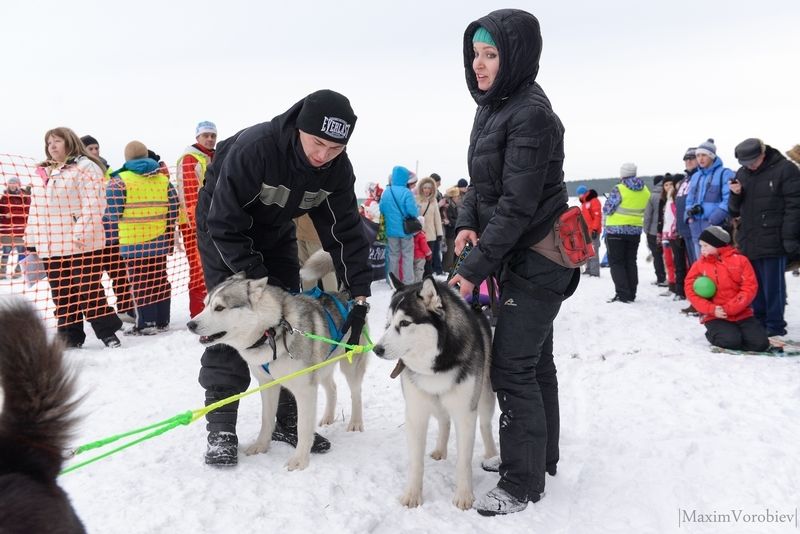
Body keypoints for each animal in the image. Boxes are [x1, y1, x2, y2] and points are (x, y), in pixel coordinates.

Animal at [372, 276, 496, 510]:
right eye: (388, 324)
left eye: (404, 323)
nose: (377, 350)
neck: (436, 367)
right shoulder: (415, 412)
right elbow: (416, 461)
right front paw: (412, 494)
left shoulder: (465, 414)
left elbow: (464, 460)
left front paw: (464, 495)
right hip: (435, 404)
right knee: (444, 422)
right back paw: (440, 449)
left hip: (485, 397)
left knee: (485, 425)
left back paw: (492, 455)